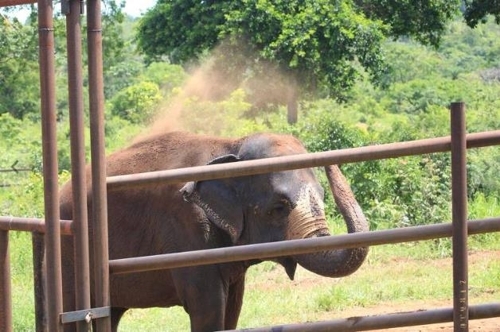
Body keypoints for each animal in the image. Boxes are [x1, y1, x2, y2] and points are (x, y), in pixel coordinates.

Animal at [56, 132, 370, 332]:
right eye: (278, 208)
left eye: (322, 195)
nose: (331, 162)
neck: (229, 145)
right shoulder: (186, 228)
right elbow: (207, 307)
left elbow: (232, 308)